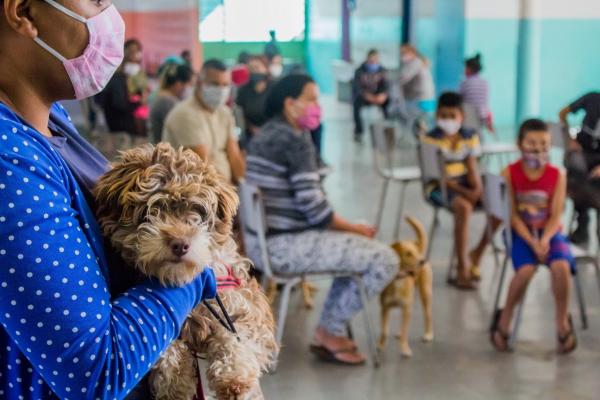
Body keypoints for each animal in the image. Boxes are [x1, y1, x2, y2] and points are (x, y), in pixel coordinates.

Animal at [94, 144, 278, 400]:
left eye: (197, 210)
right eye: (151, 210)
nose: (180, 243)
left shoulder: (247, 305)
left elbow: (236, 336)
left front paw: (234, 378)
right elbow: (166, 348)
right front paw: (176, 384)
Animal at [380, 217, 432, 358]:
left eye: (415, 253)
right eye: (408, 254)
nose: (422, 261)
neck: (399, 279)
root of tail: (421, 248)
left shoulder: (406, 307)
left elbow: (405, 332)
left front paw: (405, 350)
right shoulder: (385, 308)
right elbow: (384, 330)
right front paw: (380, 346)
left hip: (425, 294)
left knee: (427, 315)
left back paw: (428, 334)